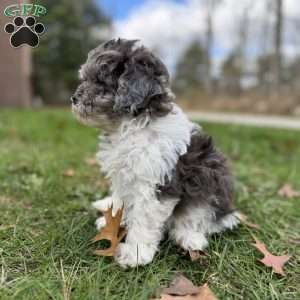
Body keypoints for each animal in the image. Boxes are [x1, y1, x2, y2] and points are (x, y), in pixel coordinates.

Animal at [71, 38, 239, 268]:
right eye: (85, 78)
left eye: (100, 82)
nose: (73, 99)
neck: (128, 126)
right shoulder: (124, 176)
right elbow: (121, 203)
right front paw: (113, 220)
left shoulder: (154, 184)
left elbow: (144, 219)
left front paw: (135, 253)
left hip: (211, 184)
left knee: (200, 218)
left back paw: (190, 238)